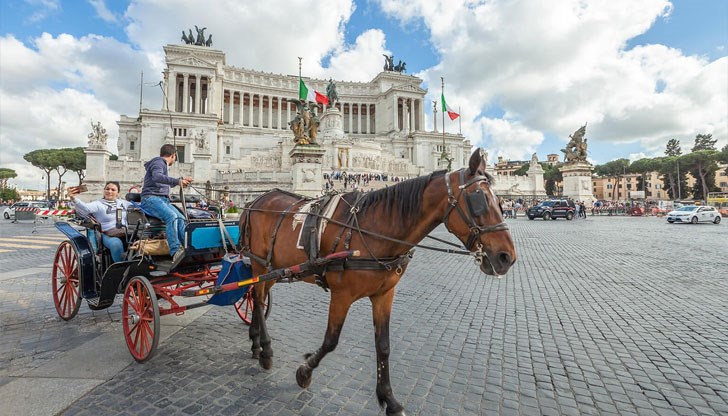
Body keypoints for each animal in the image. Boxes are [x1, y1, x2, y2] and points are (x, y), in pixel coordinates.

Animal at [242, 148, 516, 414]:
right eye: (478, 200)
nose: (507, 257)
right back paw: (265, 350)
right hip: (258, 262)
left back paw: (255, 342)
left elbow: (383, 346)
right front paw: (304, 372)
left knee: (257, 296)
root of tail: (254, 200)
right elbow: (331, 341)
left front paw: (389, 400)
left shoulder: (384, 294)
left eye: (499, 201)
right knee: (258, 297)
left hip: (274, 267)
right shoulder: (341, 295)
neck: (373, 230)